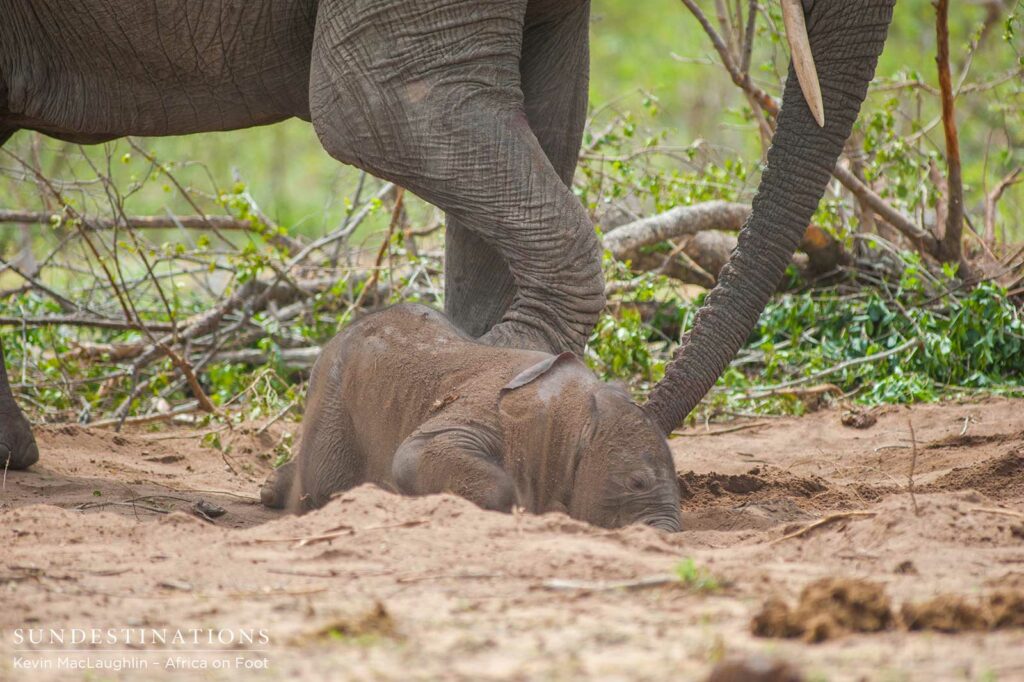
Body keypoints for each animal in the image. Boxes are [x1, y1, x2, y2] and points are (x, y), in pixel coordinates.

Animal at [260, 303, 682, 531]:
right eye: (637, 483)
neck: (578, 412)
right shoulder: (484, 413)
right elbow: (412, 455)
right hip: (333, 403)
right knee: (323, 484)